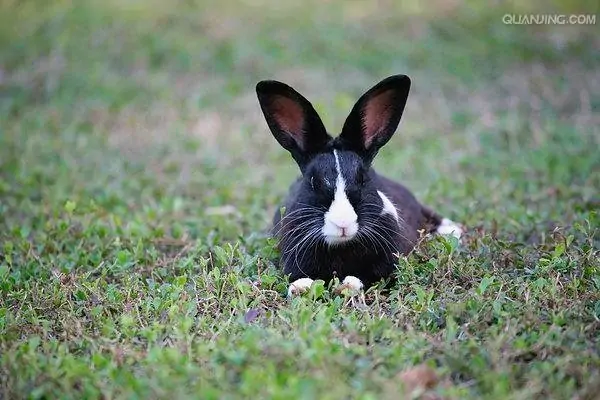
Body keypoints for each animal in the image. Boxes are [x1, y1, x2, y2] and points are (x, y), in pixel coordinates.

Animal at [254, 75, 464, 296]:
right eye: (312, 181)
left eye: (363, 178)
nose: (342, 223)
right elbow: (300, 276)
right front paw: (300, 289)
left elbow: (366, 278)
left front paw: (347, 286)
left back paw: (452, 230)